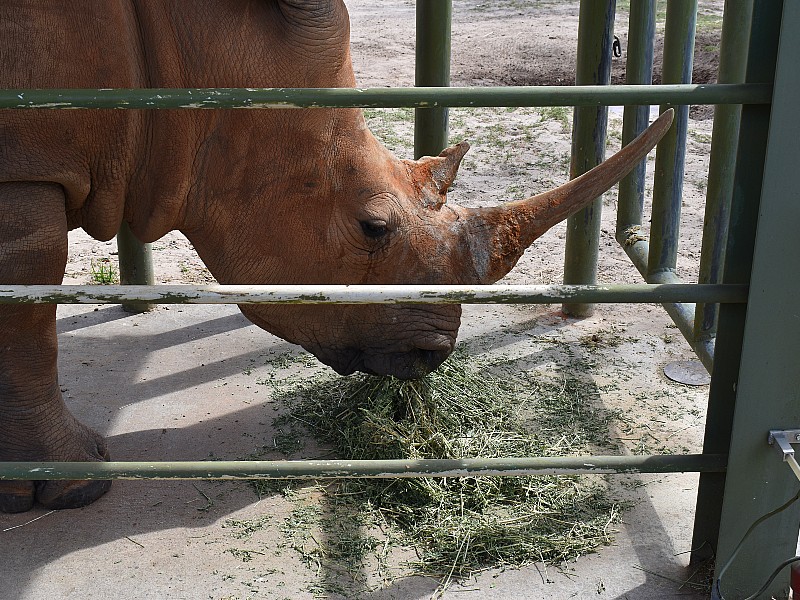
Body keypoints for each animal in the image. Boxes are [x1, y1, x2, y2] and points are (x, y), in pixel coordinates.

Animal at [0, 0, 672, 513]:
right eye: (373, 228)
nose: (432, 357)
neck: (178, 55)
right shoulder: (27, 171)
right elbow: (28, 306)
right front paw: (76, 487)